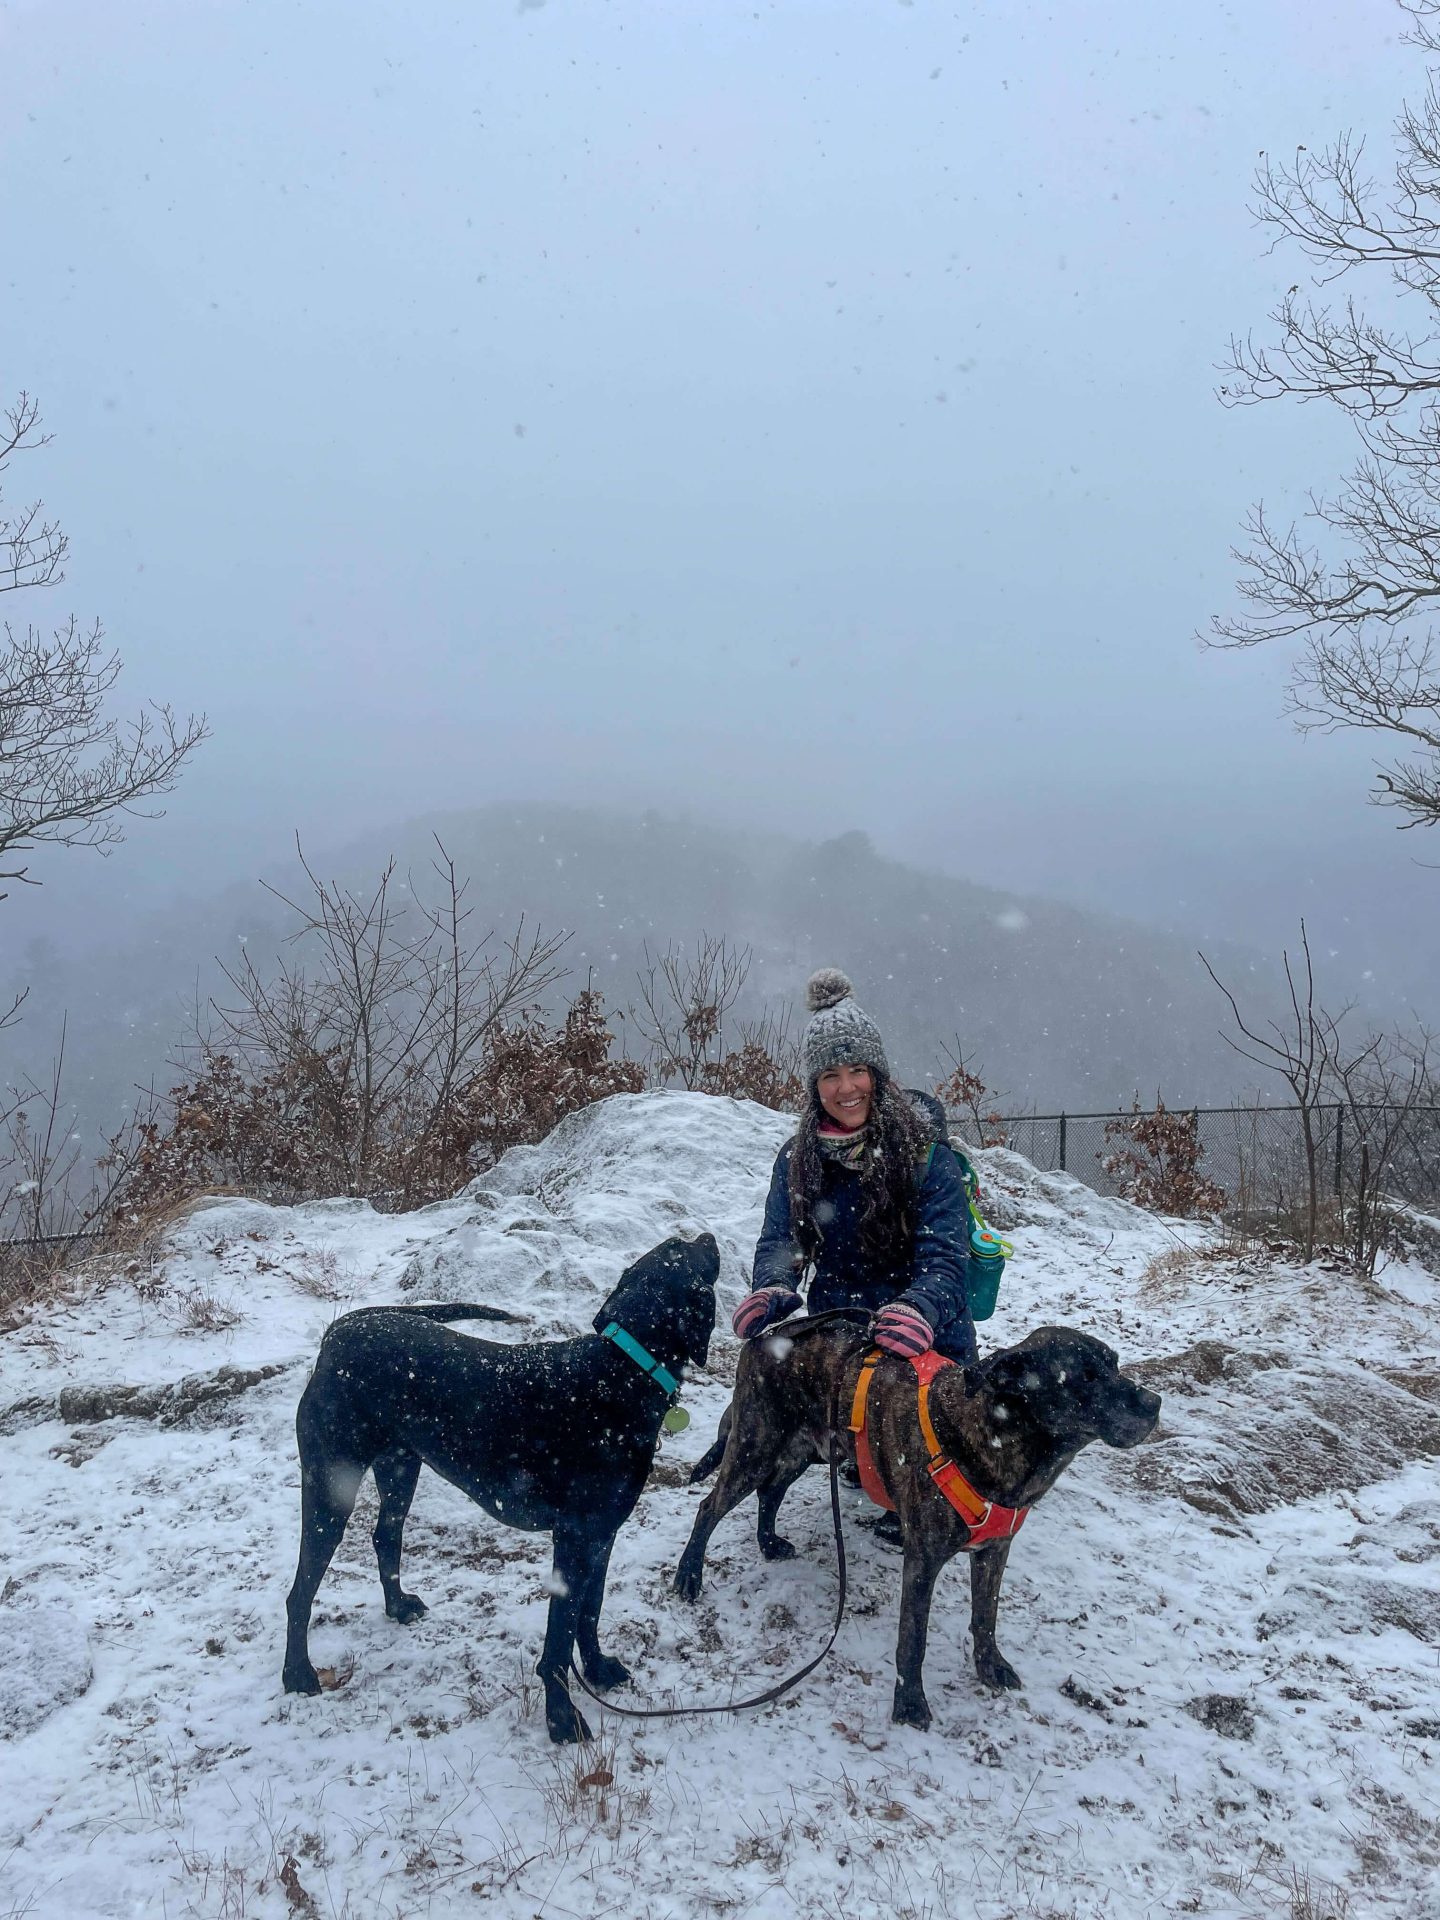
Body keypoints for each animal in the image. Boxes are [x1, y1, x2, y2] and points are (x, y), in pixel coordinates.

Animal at [284, 1228, 718, 1743]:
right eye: (688, 1250)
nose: (708, 1235)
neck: (621, 1371)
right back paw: (297, 1674)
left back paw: (398, 1606)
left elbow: (589, 1614)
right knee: (300, 1591)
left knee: (385, 1536)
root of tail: (340, 1333)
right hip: (331, 1486)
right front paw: (562, 1718)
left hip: (400, 1469)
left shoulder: (602, 1534)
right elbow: (558, 1641)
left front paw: (597, 1670)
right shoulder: (574, 1539)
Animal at [675, 1328, 1159, 1735]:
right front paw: (909, 1704)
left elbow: (985, 1617)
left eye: (1115, 1364)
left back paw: (769, 1543)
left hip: (803, 1449)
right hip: (755, 1445)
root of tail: (767, 1335)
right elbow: (913, 1639)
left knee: (771, 1491)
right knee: (709, 1507)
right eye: (1086, 1378)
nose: (1154, 1403)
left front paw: (990, 1667)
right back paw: (689, 1576)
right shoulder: (922, 1560)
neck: (994, 1436)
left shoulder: (994, 1550)